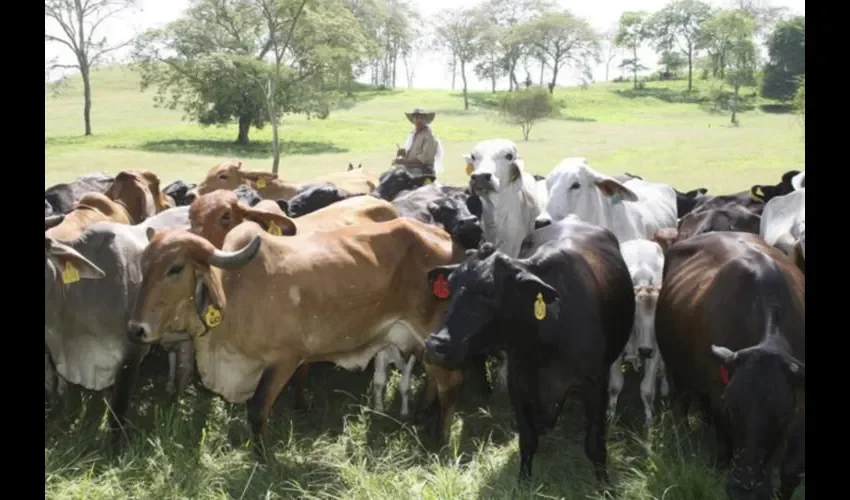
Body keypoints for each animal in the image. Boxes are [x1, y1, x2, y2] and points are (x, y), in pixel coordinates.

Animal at [125, 217, 464, 456]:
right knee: (435, 382)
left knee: (450, 388)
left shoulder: (284, 360)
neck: (234, 290)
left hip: (437, 337)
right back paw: (421, 419)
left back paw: (441, 440)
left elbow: (257, 411)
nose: (135, 329)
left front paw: (266, 458)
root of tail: (450, 243)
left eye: (175, 268)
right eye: (143, 265)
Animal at [608, 240, 664, 428]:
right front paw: (610, 416)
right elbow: (615, 386)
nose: (645, 350)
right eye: (635, 317)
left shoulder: (655, 351)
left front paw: (649, 423)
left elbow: (647, 390)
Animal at [652, 230, 804, 500]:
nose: (745, 488)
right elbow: (722, 452)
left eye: (784, 412)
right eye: (730, 405)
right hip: (675, 368)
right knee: (680, 403)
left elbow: (790, 473)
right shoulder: (717, 395)